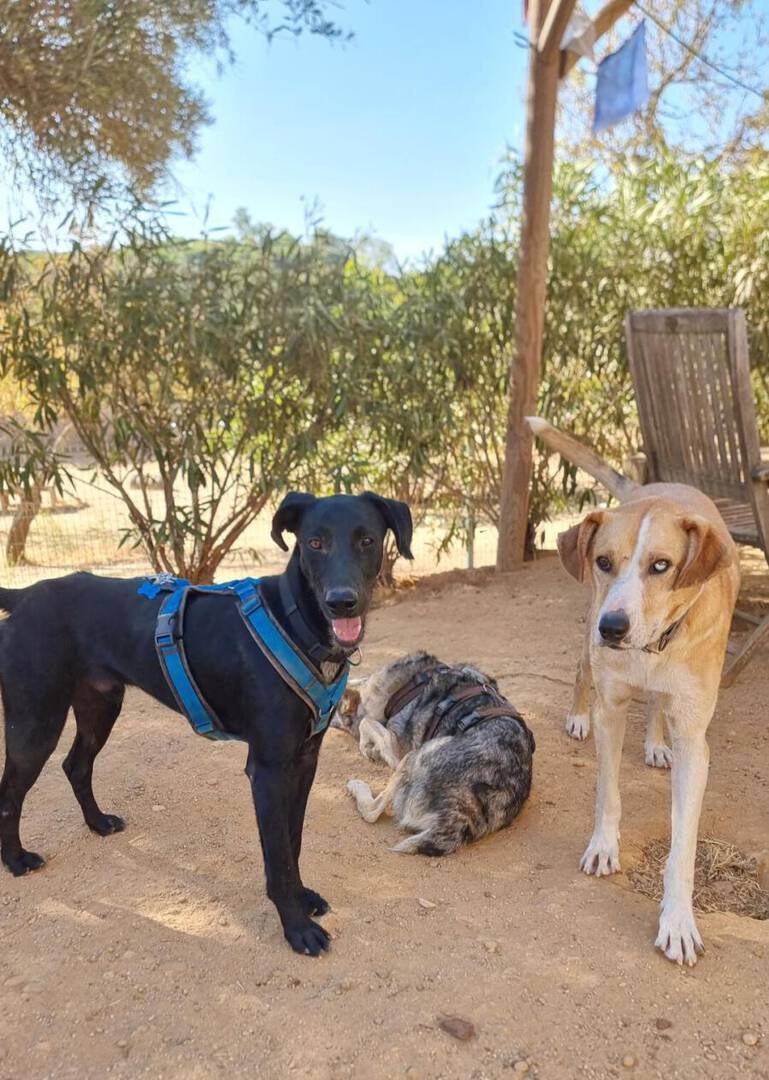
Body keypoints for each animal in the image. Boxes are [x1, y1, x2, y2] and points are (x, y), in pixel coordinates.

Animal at [0, 490, 413, 956]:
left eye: (367, 540)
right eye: (314, 543)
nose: (341, 601)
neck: (295, 623)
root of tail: (25, 596)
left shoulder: (305, 760)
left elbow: (293, 840)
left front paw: (303, 897)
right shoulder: (268, 770)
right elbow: (278, 856)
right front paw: (296, 926)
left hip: (100, 706)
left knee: (76, 765)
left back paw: (98, 822)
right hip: (34, 721)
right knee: (10, 794)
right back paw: (15, 859)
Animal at [334, 651, 535, 855]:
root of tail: (459, 817)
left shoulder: (396, 747)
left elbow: (365, 722)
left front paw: (367, 747)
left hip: (414, 756)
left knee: (372, 812)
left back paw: (356, 786)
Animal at [528, 417, 739, 965]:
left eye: (661, 566)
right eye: (604, 561)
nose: (614, 628)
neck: (652, 647)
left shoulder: (694, 740)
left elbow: (683, 845)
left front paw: (678, 920)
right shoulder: (613, 707)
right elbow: (608, 792)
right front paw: (603, 847)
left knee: (659, 706)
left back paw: (655, 743)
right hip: (586, 630)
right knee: (581, 671)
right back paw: (578, 716)